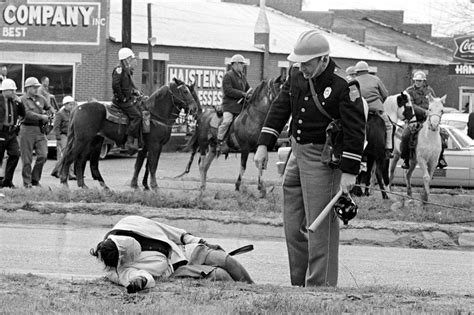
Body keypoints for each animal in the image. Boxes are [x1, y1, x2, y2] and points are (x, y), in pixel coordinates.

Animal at [59, 79, 198, 190]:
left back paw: (87, 185)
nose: (195, 108)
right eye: (185, 91)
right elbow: (152, 165)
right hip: (82, 140)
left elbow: (141, 165)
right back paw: (65, 183)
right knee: (70, 157)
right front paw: (154, 186)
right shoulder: (155, 145)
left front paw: (136, 185)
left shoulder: (146, 147)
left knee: (82, 160)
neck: (154, 115)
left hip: (93, 141)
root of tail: (77, 108)